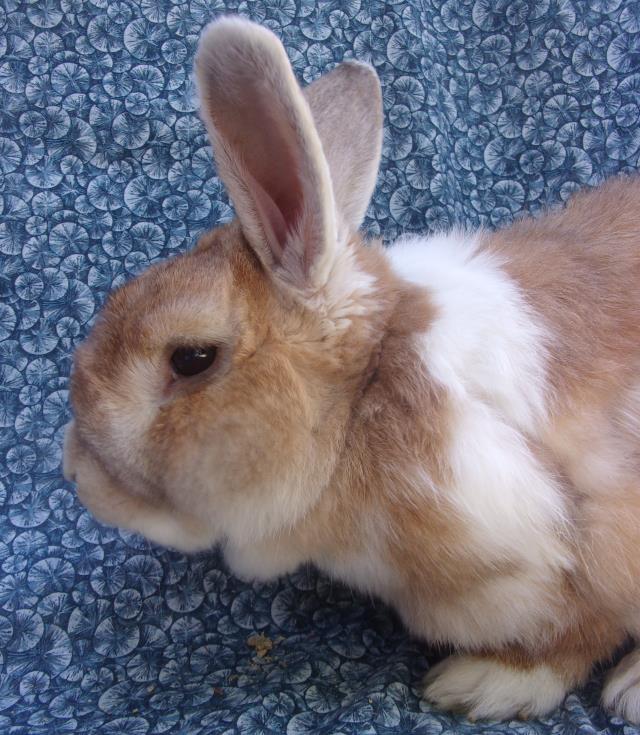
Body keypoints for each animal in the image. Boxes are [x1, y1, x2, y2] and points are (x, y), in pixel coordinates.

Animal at [61, 15, 640, 724]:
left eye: (191, 359)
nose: (76, 472)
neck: (366, 395)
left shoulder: (588, 533)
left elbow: (577, 630)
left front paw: (480, 685)